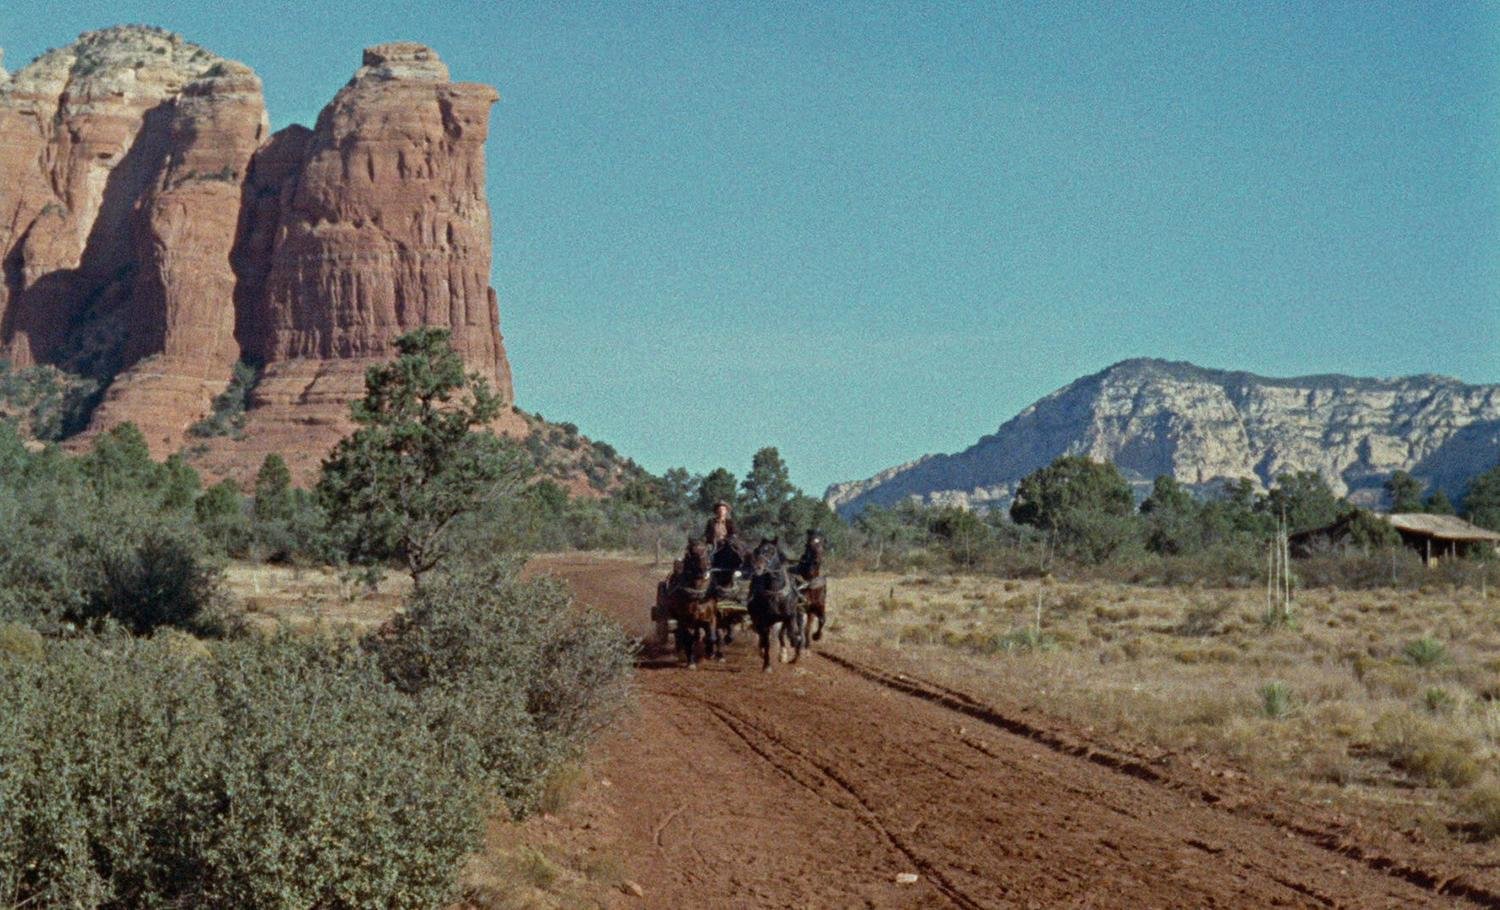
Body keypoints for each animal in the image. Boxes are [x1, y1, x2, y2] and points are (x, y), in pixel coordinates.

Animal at [663, 539, 720, 668]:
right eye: (693, 553)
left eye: (707, 550)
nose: (706, 568)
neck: (698, 594)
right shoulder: (685, 619)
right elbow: (688, 638)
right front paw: (691, 662)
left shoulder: (710, 617)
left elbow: (711, 637)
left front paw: (710, 653)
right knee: (684, 635)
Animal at [744, 536, 804, 671]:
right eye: (757, 551)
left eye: (772, 551)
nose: (757, 568)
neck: (775, 592)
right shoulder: (764, 620)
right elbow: (766, 641)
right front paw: (767, 665)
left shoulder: (789, 615)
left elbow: (792, 635)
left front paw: (794, 652)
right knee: (762, 634)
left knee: (782, 634)